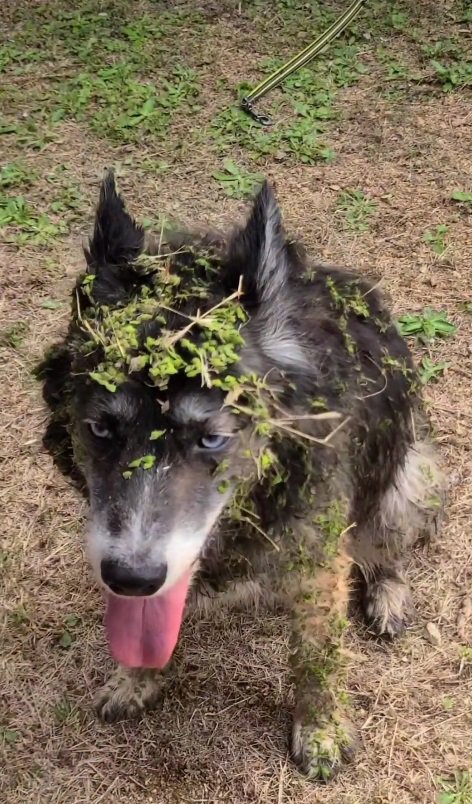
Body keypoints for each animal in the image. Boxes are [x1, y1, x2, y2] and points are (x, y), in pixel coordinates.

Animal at [38, 173, 444, 784]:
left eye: (212, 438)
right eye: (101, 429)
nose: (131, 578)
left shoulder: (320, 550)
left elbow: (317, 652)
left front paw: (321, 729)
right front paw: (136, 678)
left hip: (406, 476)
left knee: (387, 541)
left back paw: (388, 591)